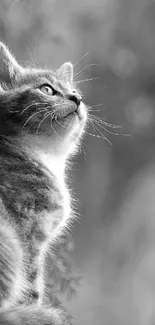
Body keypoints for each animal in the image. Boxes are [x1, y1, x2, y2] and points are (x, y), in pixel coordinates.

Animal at [0, 41, 87, 322]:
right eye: (47, 89)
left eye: (74, 91)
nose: (76, 98)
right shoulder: (28, 232)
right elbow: (31, 285)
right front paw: (33, 309)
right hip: (9, 242)